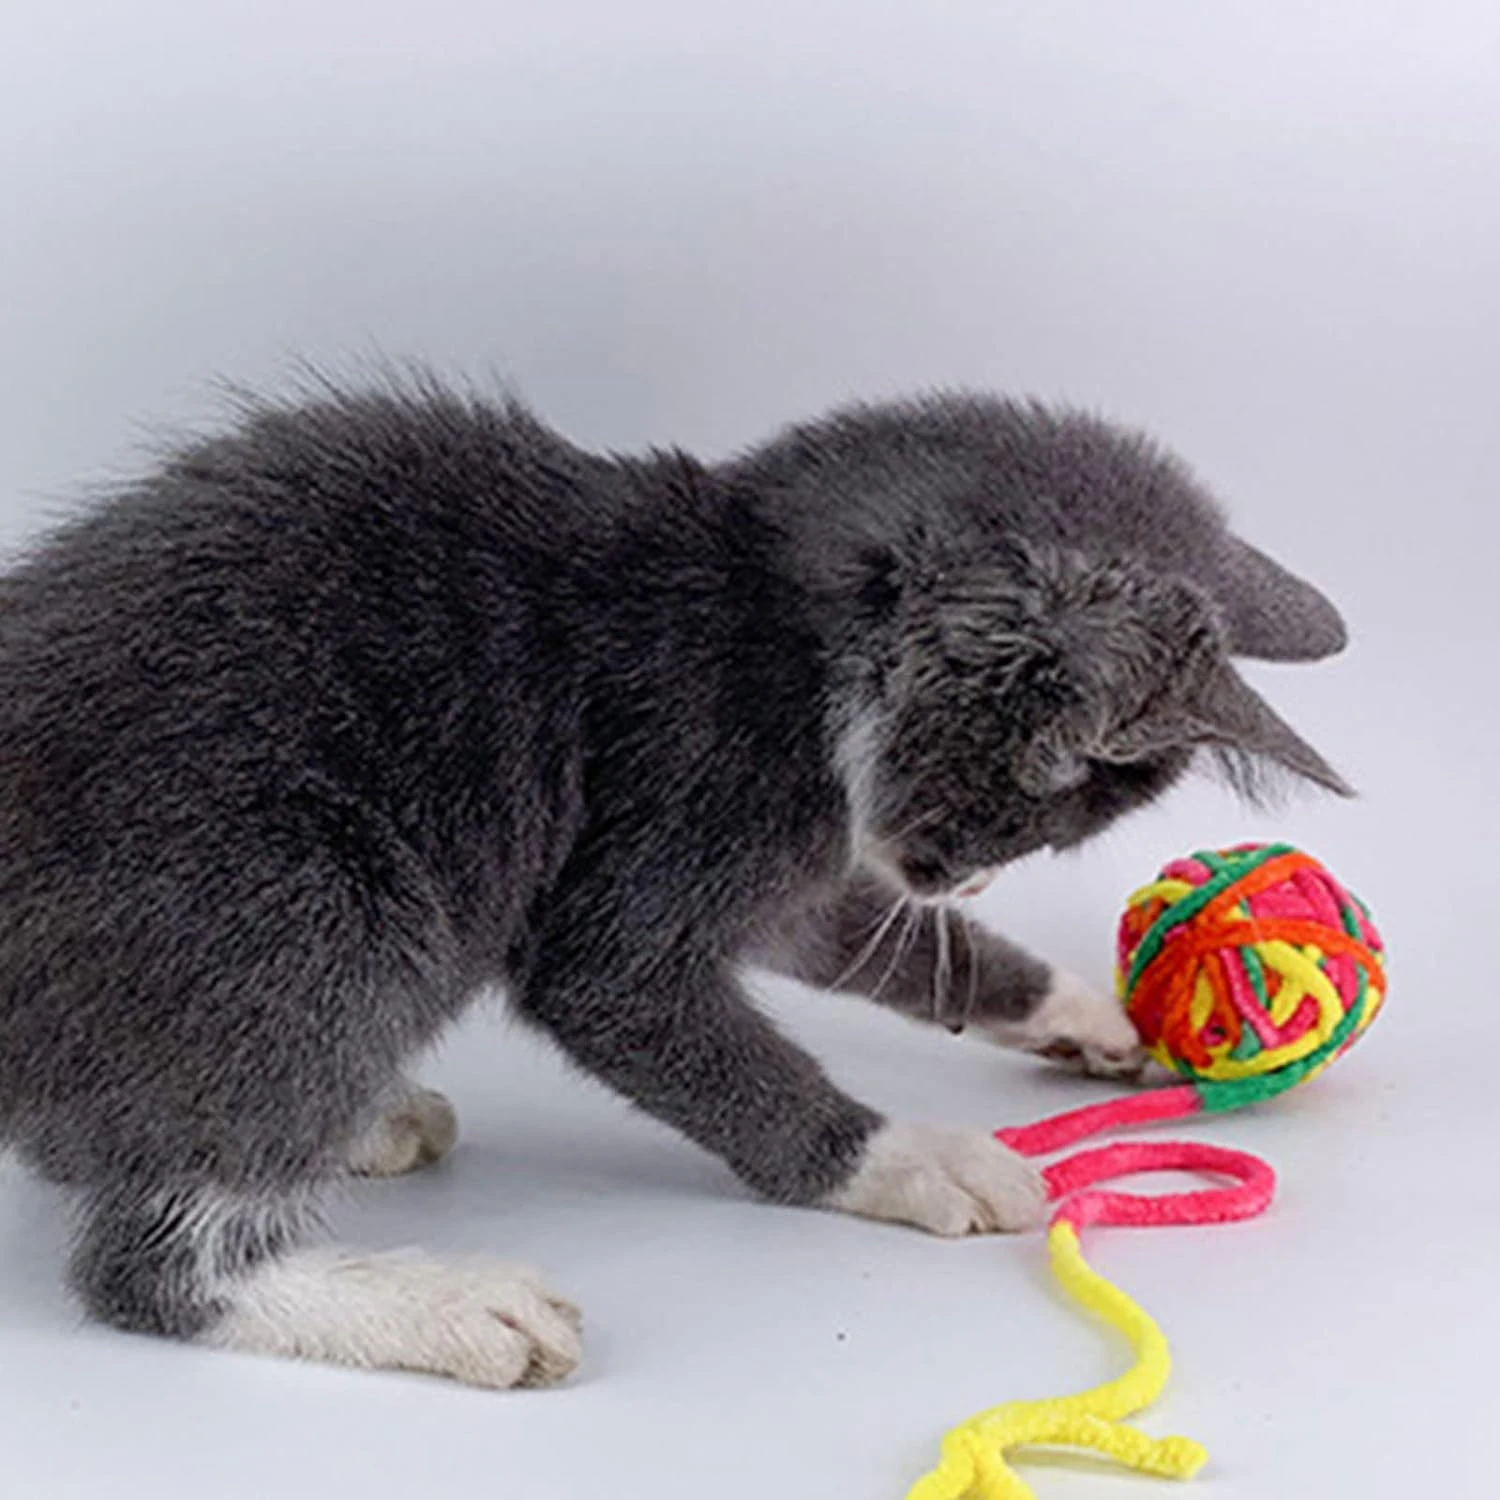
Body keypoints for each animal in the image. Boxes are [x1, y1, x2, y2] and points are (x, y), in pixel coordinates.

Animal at [0, 381, 1356, 1386]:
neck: (778, 610)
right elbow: (645, 1000)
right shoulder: (693, 779)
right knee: (152, 1267)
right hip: (310, 894)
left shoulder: (811, 848)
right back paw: (444, 1303)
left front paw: (1084, 1014)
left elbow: (855, 937)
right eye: (1019, 806)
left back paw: (357, 1122)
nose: (956, 878)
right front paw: (908, 1159)